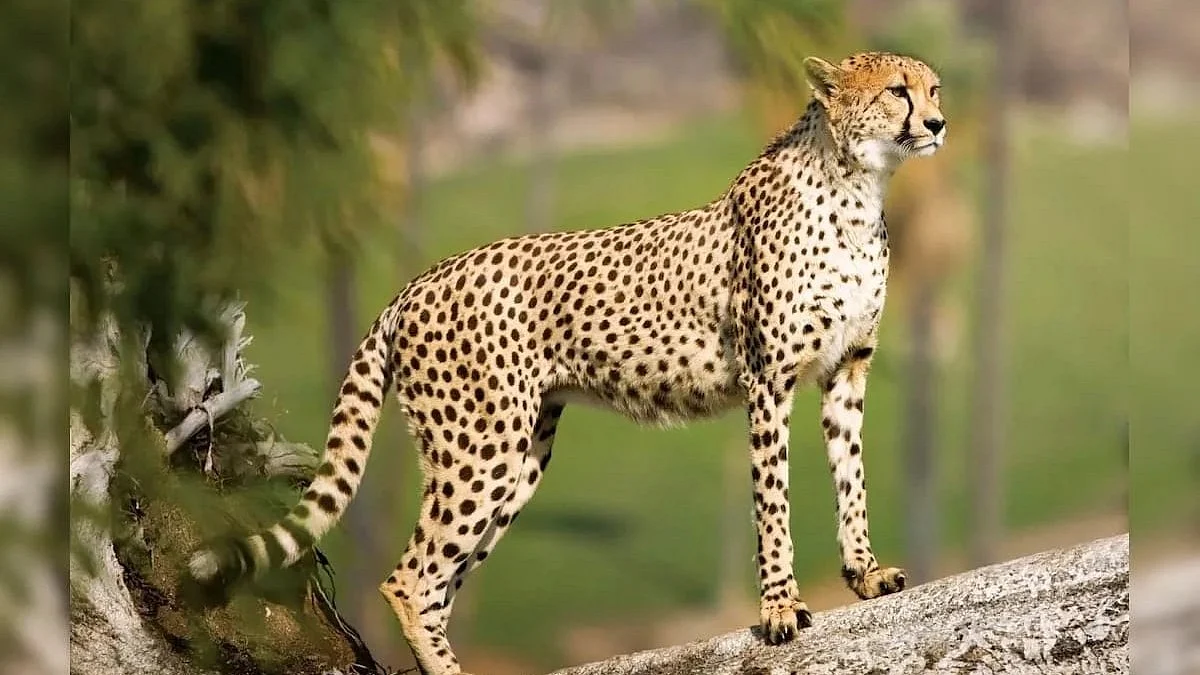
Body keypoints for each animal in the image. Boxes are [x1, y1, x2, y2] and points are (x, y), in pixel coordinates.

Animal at [187, 51, 947, 675]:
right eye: (897, 91)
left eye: (933, 87)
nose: (939, 122)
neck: (855, 186)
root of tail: (418, 281)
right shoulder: (770, 379)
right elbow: (773, 501)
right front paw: (781, 608)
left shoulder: (847, 371)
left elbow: (851, 479)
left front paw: (865, 574)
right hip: (480, 449)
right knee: (409, 579)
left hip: (519, 456)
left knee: (439, 584)